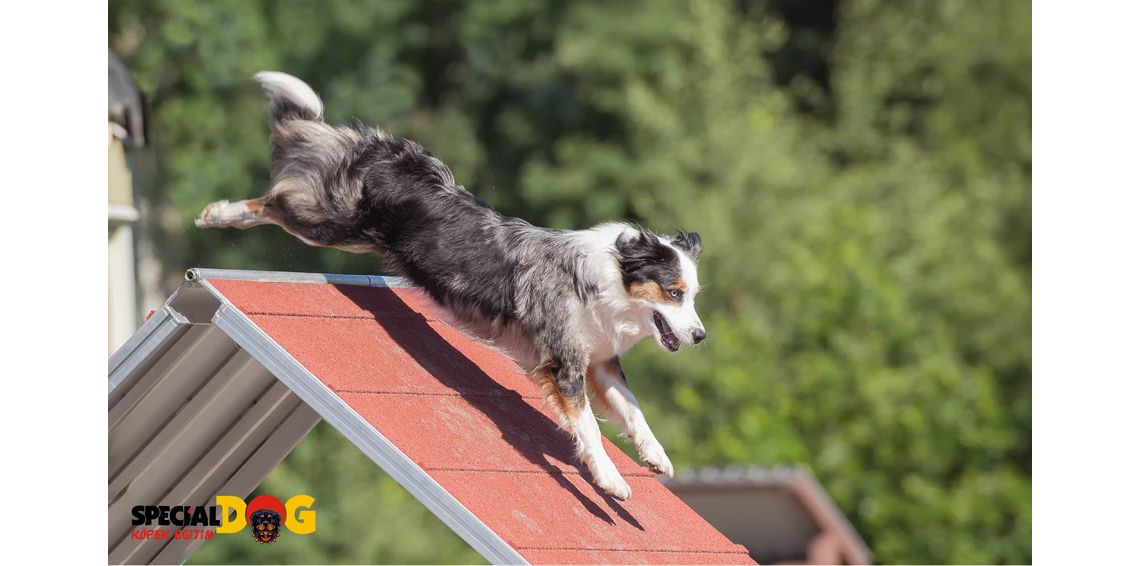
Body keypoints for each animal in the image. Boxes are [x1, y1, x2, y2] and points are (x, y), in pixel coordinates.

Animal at [200, 71, 706, 499]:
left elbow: (635, 411)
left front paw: (656, 456)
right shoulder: (563, 366)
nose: (701, 335)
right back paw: (217, 213)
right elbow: (590, 428)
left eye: (693, 296)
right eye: (674, 292)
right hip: (331, 223)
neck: (608, 283)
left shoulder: (600, 362)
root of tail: (391, 153)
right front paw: (610, 480)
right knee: (274, 199)